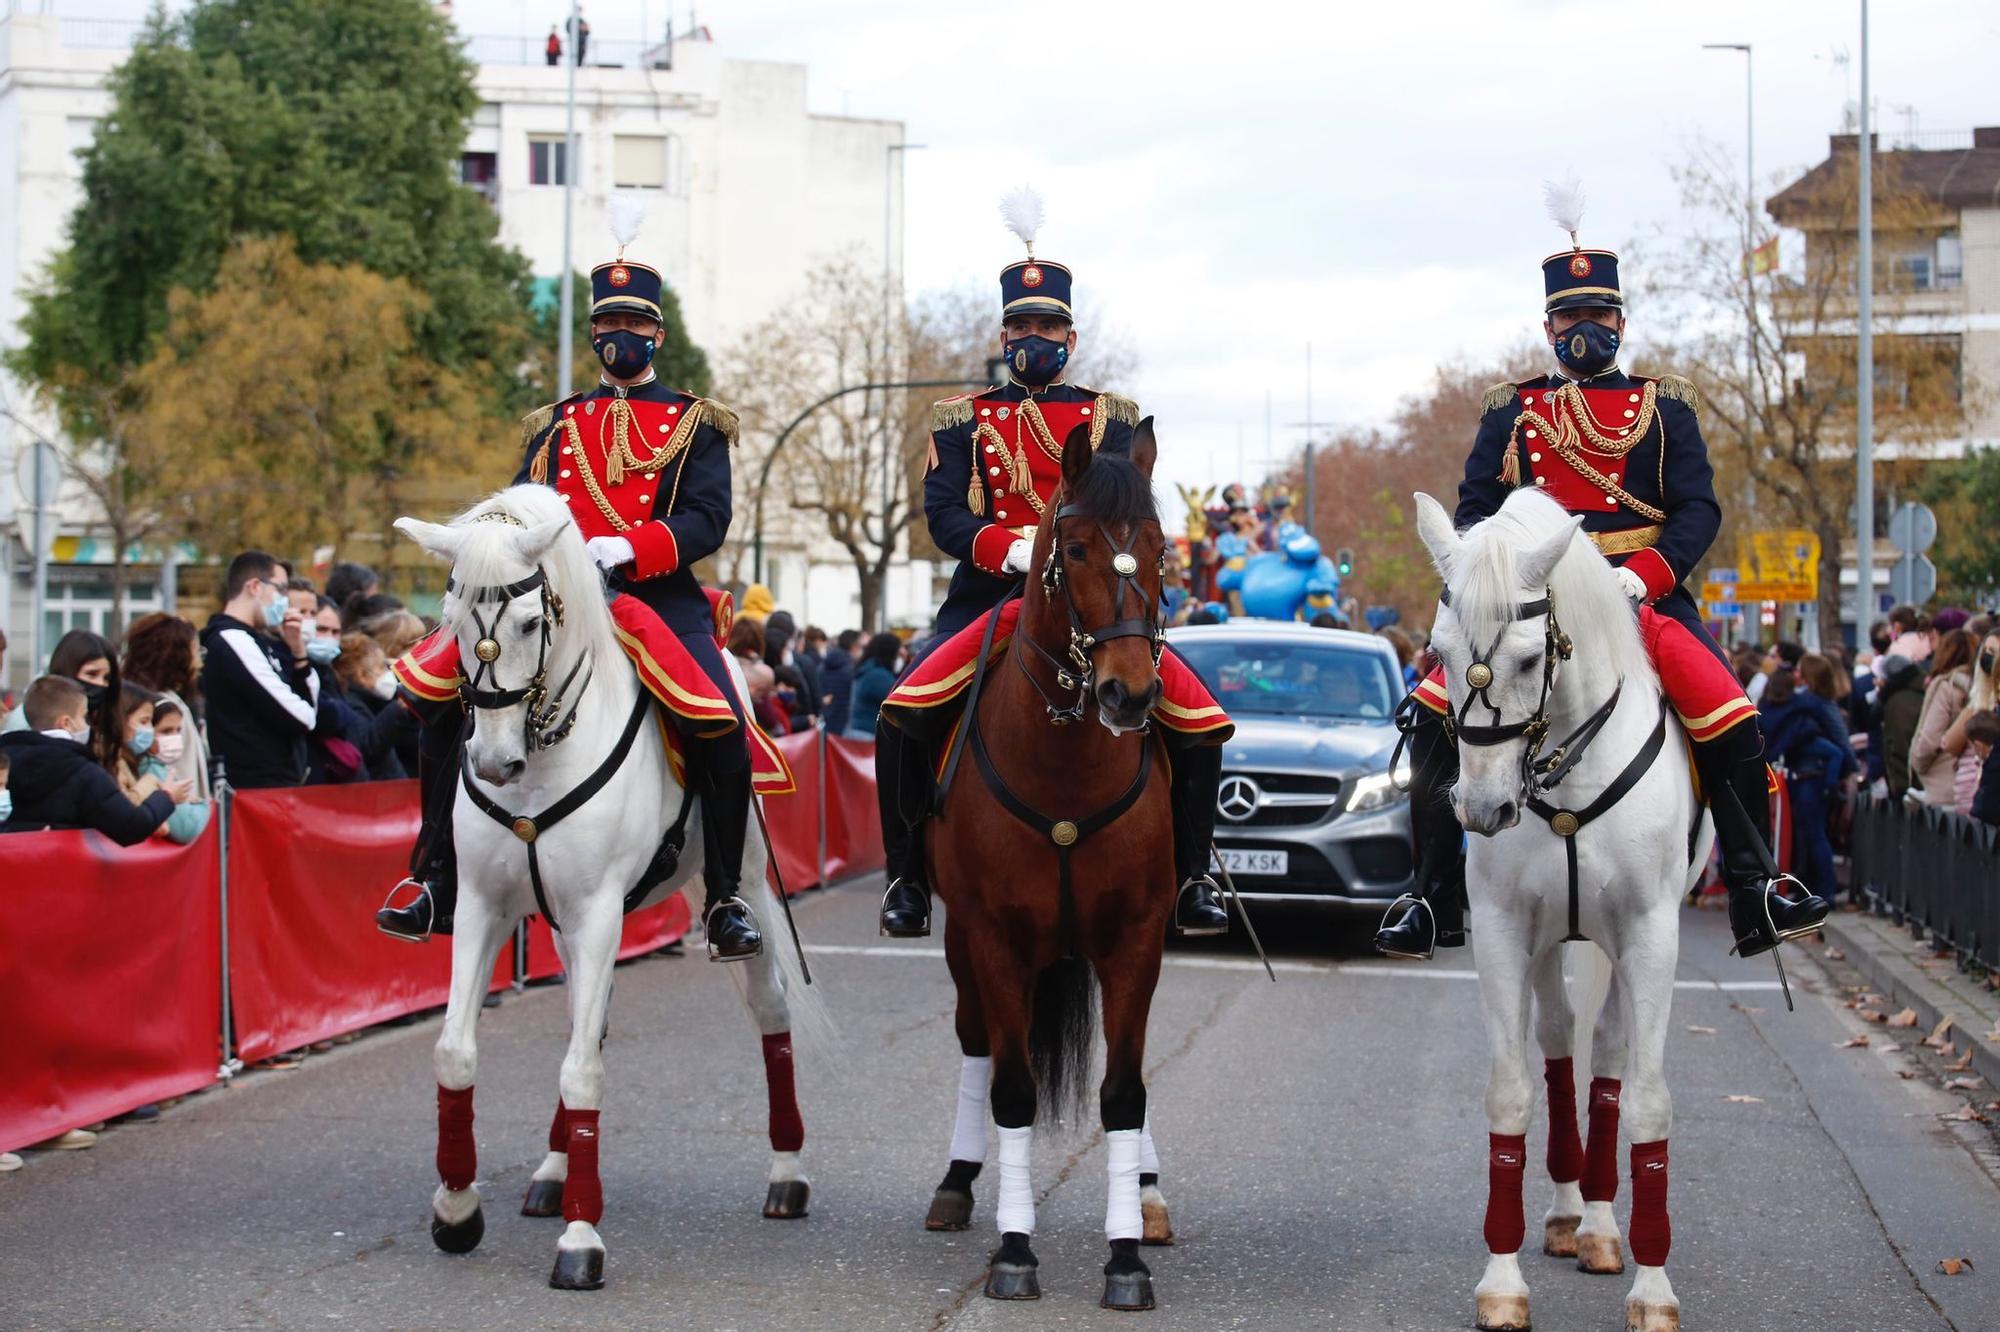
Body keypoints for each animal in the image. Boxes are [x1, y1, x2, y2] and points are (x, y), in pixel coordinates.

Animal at [394, 486, 824, 1288]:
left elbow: (582, 1072)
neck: (541, 755)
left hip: (743, 881)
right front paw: (458, 1209)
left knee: (770, 1010)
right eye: (451, 616)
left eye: (530, 622)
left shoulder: (597, 913)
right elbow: (457, 1052)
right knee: (582, 1026)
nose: (492, 763)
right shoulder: (486, 908)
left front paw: (580, 1240)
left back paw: (787, 1172)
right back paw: (555, 1171)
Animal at [928, 418, 1176, 1304]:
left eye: (1161, 548)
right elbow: (1012, 1089)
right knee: (974, 1042)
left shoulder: (1137, 939)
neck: (1065, 761)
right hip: (963, 946)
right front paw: (1015, 1247)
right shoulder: (995, 939)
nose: (1128, 695)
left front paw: (1126, 1253)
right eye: (1073, 547)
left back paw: (1150, 1196)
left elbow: (1125, 1091)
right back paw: (959, 1182)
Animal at [1408, 488, 1720, 1328]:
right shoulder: (1505, 933)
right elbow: (1512, 1094)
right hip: (1556, 939)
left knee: (1607, 1054)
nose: (1483, 809)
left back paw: (1605, 1230)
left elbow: (1647, 1103)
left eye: (1525, 658)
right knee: (1558, 1043)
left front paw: (1653, 1288)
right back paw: (1567, 1212)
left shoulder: (1650, 936)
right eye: (1437, 652)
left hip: (1616, 942)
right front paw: (1502, 1281)